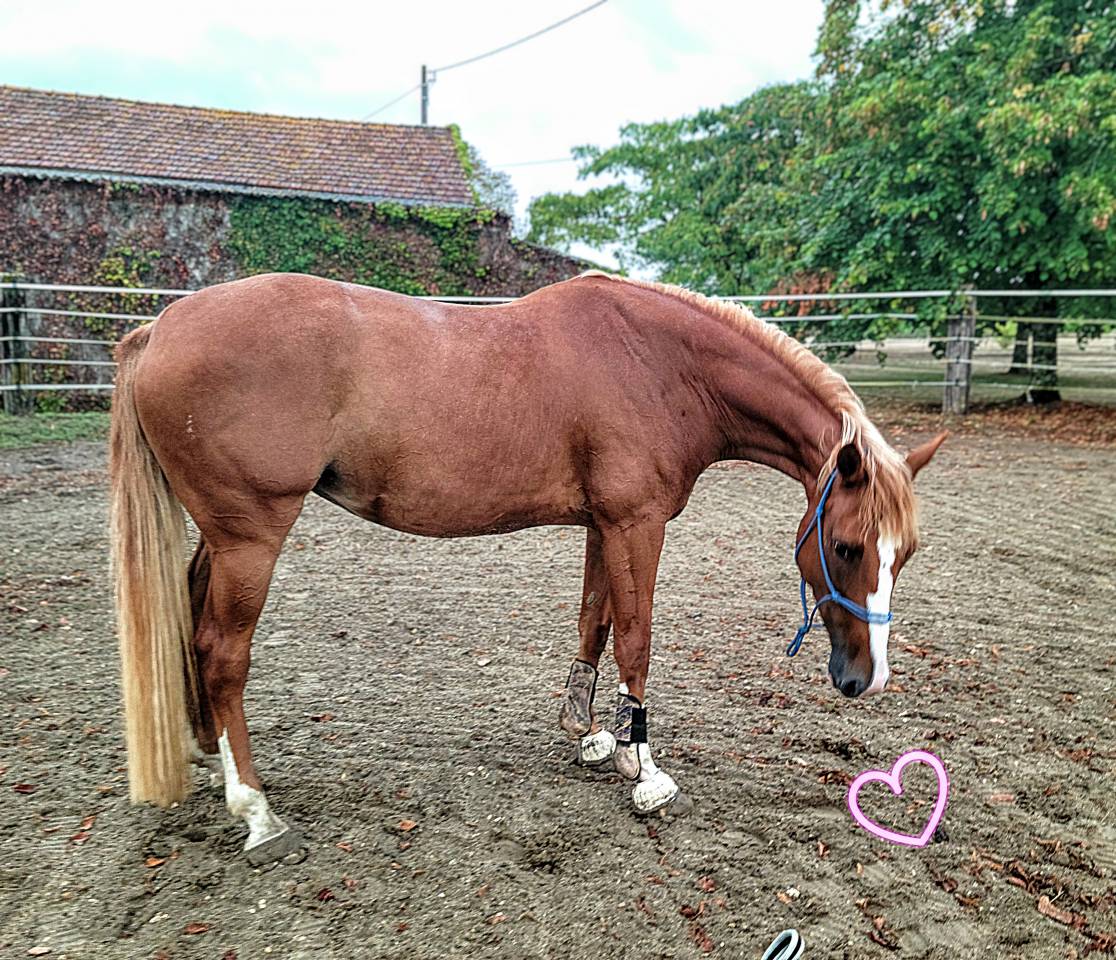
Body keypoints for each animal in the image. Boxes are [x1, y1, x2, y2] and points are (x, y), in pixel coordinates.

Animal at [109, 270, 945, 865]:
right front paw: (647, 773)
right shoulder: (636, 524)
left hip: (221, 539)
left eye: (905, 553)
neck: (661, 363)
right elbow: (636, 638)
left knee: (189, 620)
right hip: (251, 536)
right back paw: (255, 810)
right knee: (221, 650)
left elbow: (595, 624)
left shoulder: (604, 525)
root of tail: (159, 329)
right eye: (846, 547)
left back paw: (207, 759)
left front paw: (595, 738)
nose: (866, 679)